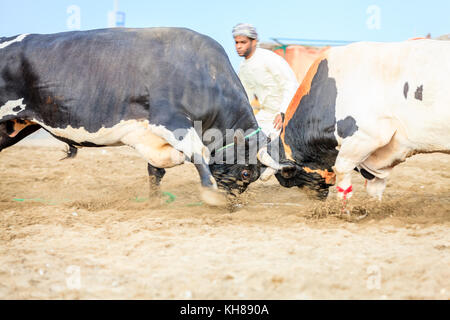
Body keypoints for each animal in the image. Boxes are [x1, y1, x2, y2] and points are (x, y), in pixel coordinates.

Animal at [0, 28, 278, 206]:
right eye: (246, 174)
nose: (233, 204)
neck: (204, 73)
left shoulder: (150, 137)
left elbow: (156, 171)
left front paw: (154, 202)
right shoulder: (170, 120)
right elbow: (199, 154)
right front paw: (211, 195)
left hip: (11, 126)